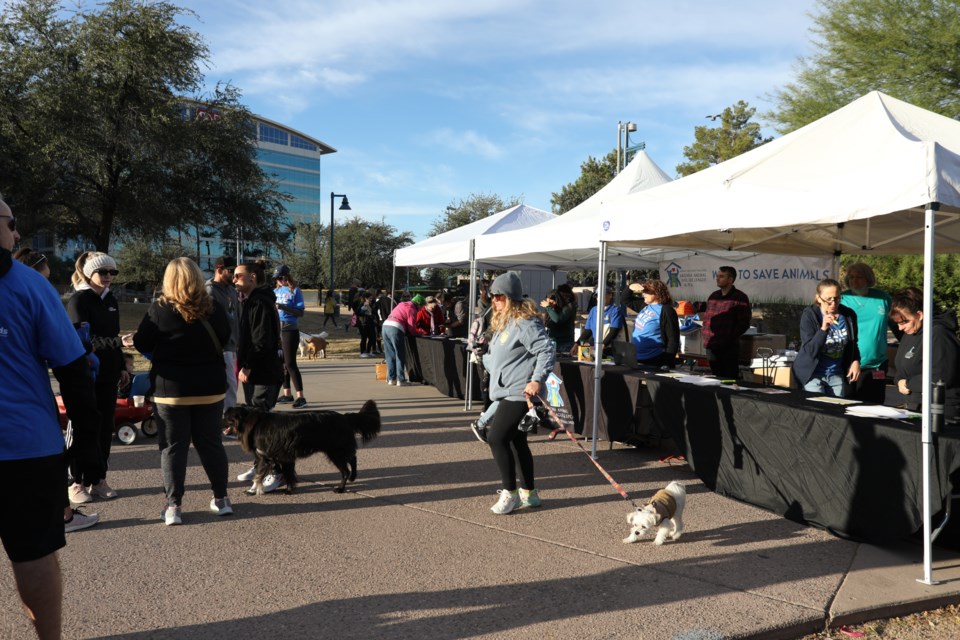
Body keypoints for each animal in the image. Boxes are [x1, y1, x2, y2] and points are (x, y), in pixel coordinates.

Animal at [223, 400, 380, 496]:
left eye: (225, 417)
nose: (219, 421)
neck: (253, 421)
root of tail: (344, 417)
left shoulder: (267, 457)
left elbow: (259, 476)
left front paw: (255, 490)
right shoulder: (281, 457)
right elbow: (287, 474)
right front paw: (289, 488)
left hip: (335, 452)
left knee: (346, 469)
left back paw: (340, 488)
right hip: (338, 450)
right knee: (353, 457)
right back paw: (353, 477)